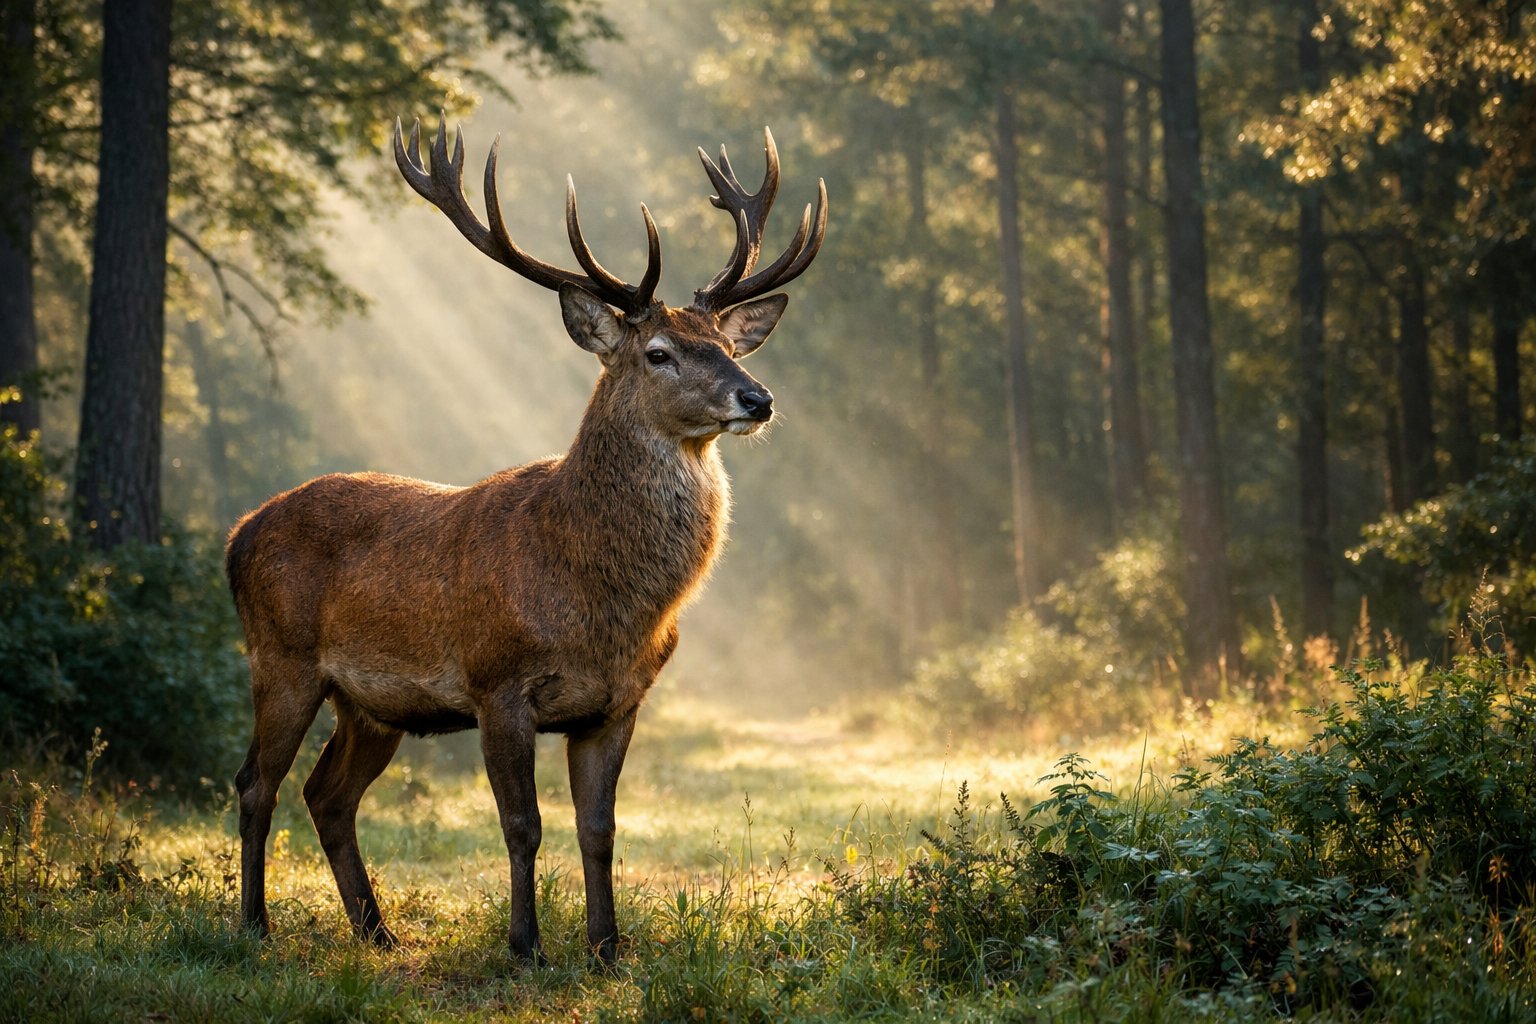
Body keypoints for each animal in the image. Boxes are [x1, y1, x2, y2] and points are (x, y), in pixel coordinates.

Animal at [224, 116, 826, 964]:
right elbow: (522, 825)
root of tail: (238, 534)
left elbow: (599, 829)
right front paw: (527, 946)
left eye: (729, 346)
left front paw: (607, 949)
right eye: (660, 353)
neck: (598, 600)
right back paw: (254, 925)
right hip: (280, 660)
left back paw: (378, 932)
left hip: (370, 704)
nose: (758, 398)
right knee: (257, 783)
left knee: (327, 793)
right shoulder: (496, 683)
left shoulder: (617, 702)